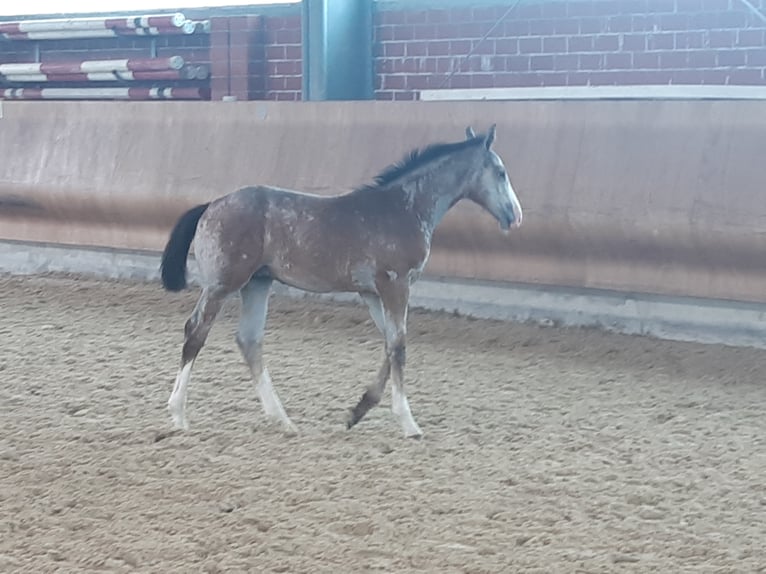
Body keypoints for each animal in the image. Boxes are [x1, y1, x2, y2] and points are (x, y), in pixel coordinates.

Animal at [160, 125, 524, 440]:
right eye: (501, 172)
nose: (516, 215)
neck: (404, 208)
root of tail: (211, 205)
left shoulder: (372, 292)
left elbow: (391, 343)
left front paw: (356, 412)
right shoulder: (395, 284)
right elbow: (399, 345)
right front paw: (408, 423)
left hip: (257, 284)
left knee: (249, 340)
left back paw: (282, 420)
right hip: (223, 284)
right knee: (195, 331)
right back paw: (178, 415)